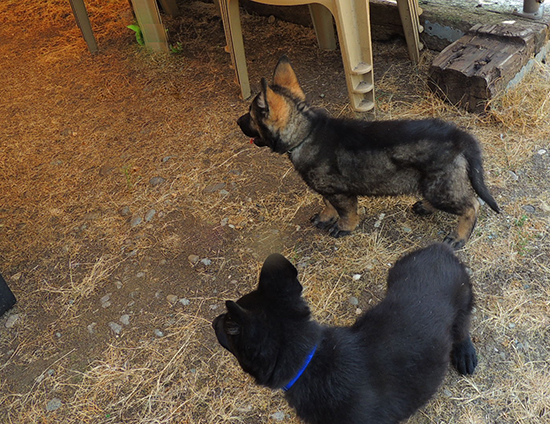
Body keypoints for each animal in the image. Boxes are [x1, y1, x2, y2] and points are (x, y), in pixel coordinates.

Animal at [213, 243, 480, 424]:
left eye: (227, 325)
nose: (214, 320)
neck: (309, 361)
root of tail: (438, 249)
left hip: (462, 304)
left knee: (462, 330)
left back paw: (465, 354)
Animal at [237, 56, 500, 248]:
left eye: (250, 116)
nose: (237, 121)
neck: (306, 132)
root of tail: (459, 136)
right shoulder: (329, 190)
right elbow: (327, 203)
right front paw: (325, 216)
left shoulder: (341, 192)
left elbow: (346, 212)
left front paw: (344, 228)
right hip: (435, 185)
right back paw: (426, 207)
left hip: (440, 186)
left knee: (471, 205)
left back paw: (459, 236)